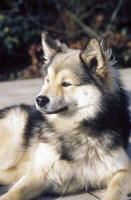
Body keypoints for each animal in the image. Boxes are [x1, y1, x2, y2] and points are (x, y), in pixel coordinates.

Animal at [0, 32, 131, 199]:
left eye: (66, 84)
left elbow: (115, 189)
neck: (74, 129)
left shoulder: (123, 170)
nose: (39, 100)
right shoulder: (38, 173)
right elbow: (15, 192)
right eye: (48, 80)